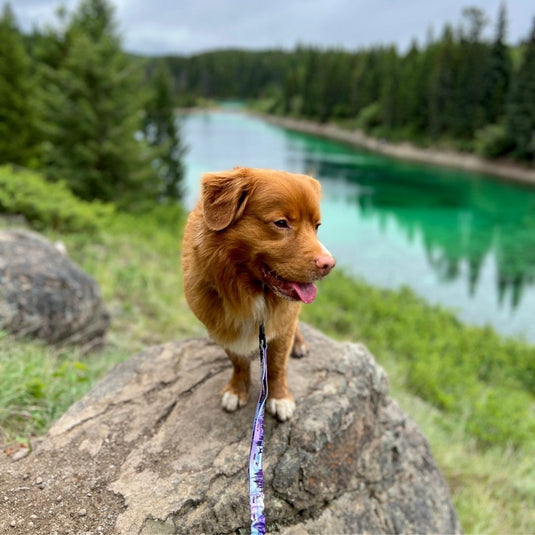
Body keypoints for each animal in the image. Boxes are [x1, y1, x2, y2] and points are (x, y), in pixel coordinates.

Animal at [183, 168, 336, 422]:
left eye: (317, 227)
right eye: (281, 223)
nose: (329, 264)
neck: (249, 289)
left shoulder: (281, 325)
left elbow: (276, 366)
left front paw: (279, 397)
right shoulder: (223, 327)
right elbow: (238, 362)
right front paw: (237, 390)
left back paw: (300, 344)